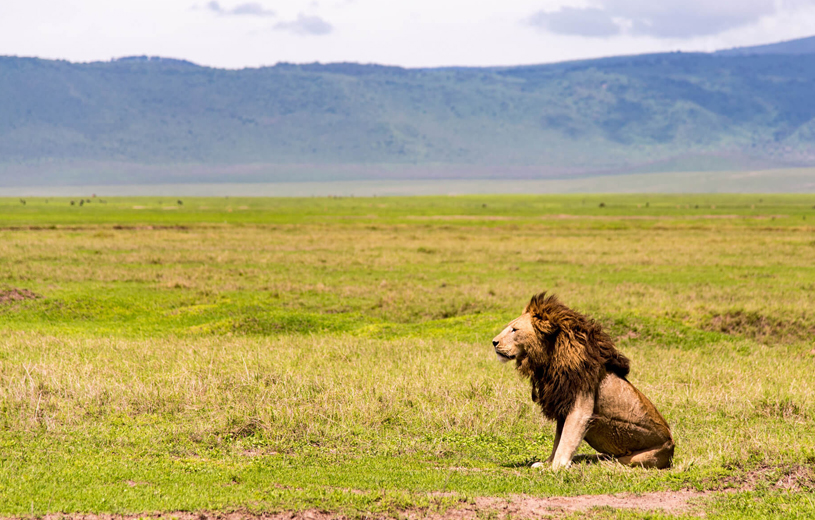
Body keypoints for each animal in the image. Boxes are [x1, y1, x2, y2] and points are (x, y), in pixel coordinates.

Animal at [490, 292, 676, 472]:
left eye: (514, 329)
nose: (494, 342)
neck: (550, 359)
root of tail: (671, 449)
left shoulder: (580, 408)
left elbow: (566, 440)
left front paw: (556, 468)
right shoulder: (562, 407)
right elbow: (558, 440)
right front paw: (548, 464)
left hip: (636, 458)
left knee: (617, 462)